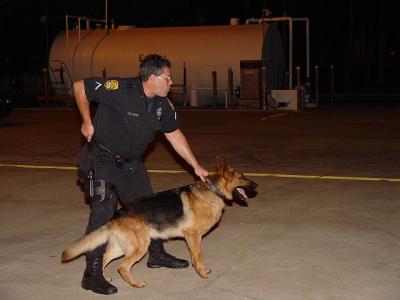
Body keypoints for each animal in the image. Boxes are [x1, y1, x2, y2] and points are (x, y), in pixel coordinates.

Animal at [61, 159, 258, 288]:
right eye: (242, 176)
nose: (256, 186)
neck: (213, 191)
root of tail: (117, 215)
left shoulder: (193, 238)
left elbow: (194, 256)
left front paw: (197, 269)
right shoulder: (193, 235)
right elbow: (199, 255)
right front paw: (201, 272)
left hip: (122, 248)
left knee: (104, 258)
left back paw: (103, 279)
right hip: (139, 247)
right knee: (122, 267)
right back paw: (135, 283)